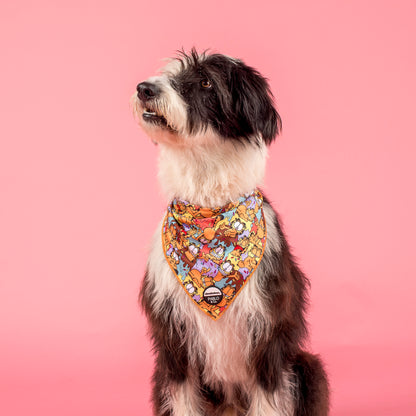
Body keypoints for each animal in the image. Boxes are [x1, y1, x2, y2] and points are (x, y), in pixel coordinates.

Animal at [132, 49, 328, 416]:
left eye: (206, 82)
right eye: (169, 72)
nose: (144, 88)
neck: (209, 216)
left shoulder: (267, 335)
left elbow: (268, 399)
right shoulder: (173, 340)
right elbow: (183, 397)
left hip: (309, 367)